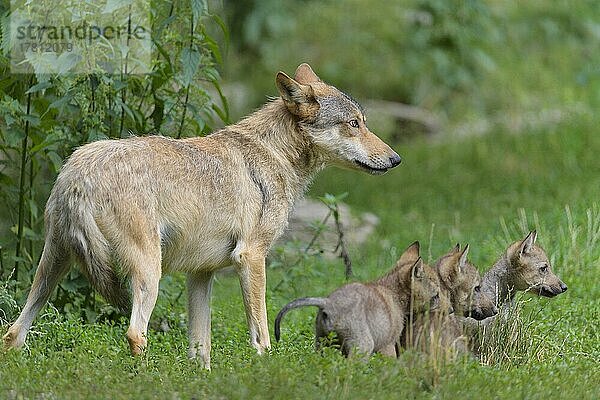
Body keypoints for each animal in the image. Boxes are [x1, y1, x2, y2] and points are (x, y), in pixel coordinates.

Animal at [4, 63, 400, 368]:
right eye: (354, 124)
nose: (396, 159)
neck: (273, 155)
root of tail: (79, 171)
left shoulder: (201, 274)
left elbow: (200, 348)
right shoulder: (251, 258)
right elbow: (261, 337)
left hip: (51, 269)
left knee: (13, 333)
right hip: (148, 273)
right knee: (135, 333)